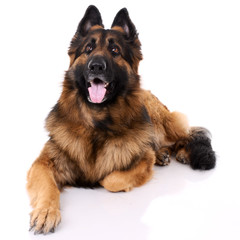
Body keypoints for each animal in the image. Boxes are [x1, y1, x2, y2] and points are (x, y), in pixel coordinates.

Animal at [26, 5, 216, 234]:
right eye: (88, 49)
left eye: (115, 50)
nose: (96, 66)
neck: (96, 122)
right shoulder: (42, 164)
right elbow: (48, 188)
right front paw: (46, 212)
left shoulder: (140, 162)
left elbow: (111, 179)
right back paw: (162, 154)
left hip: (166, 121)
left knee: (187, 136)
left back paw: (180, 153)